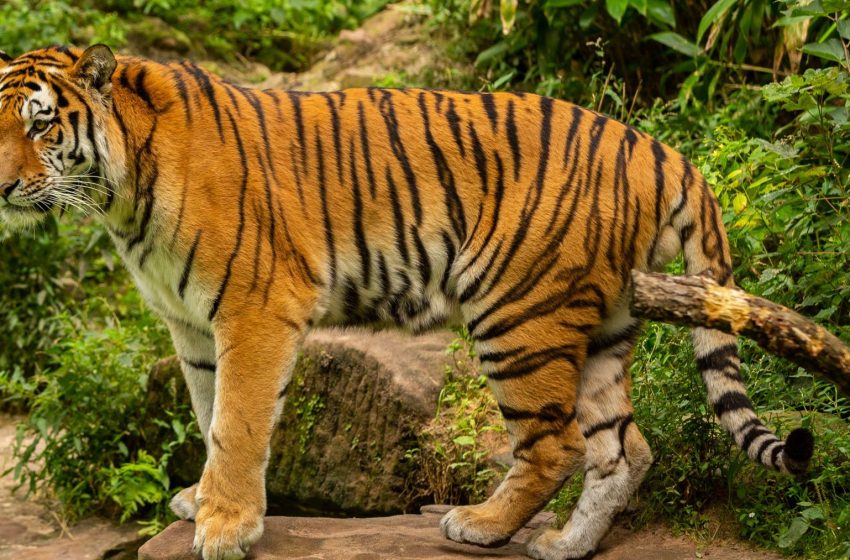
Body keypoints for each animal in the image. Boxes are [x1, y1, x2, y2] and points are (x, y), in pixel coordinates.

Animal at [0, 44, 815, 560]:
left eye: (41, 123)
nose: (3, 186)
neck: (120, 192)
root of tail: (657, 146)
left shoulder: (254, 309)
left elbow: (236, 423)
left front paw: (226, 528)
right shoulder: (192, 327)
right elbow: (207, 416)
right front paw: (201, 502)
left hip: (515, 309)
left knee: (558, 443)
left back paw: (481, 526)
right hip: (604, 324)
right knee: (623, 446)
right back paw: (563, 547)